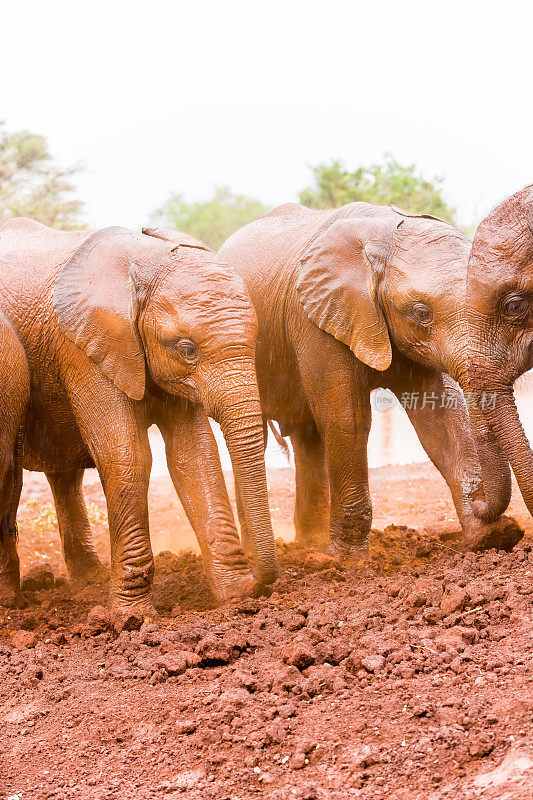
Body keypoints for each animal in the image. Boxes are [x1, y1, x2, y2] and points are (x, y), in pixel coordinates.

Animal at [0, 216, 276, 608]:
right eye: (187, 349)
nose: (263, 584)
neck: (146, 258)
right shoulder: (82, 349)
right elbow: (126, 455)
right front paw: (131, 613)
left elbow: (195, 454)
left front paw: (236, 596)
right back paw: (14, 602)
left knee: (63, 477)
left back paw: (88, 582)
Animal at [217, 202, 520, 556]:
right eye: (421, 313)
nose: (483, 502)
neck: (383, 233)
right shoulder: (315, 319)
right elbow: (347, 417)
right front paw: (346, 560)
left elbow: (440, 416)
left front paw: (491, 538)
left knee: (308, 438)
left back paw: (310, 544)